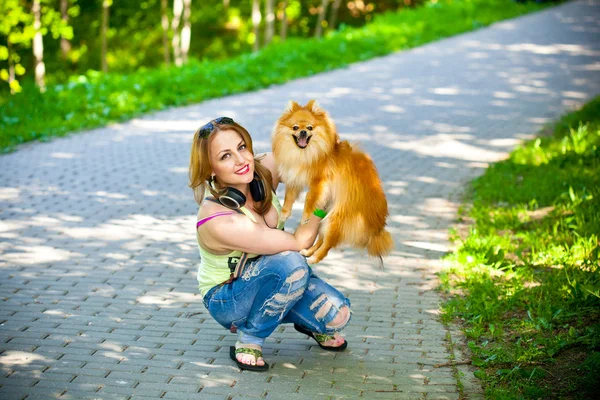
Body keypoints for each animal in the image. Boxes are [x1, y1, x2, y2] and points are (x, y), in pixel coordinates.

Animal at [272, 99, 394, 266]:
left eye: (309, 128)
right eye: (295, 127)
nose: (303, 132)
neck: (304, 153)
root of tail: (377, 226)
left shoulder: (319, 181)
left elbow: (310, 199)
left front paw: (305, 216)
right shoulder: (294, 178)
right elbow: (289, 199)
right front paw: (284, 215)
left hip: (335, 218)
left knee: (328, 244)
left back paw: (314, 258)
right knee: (321, 239)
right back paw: (308, 252)